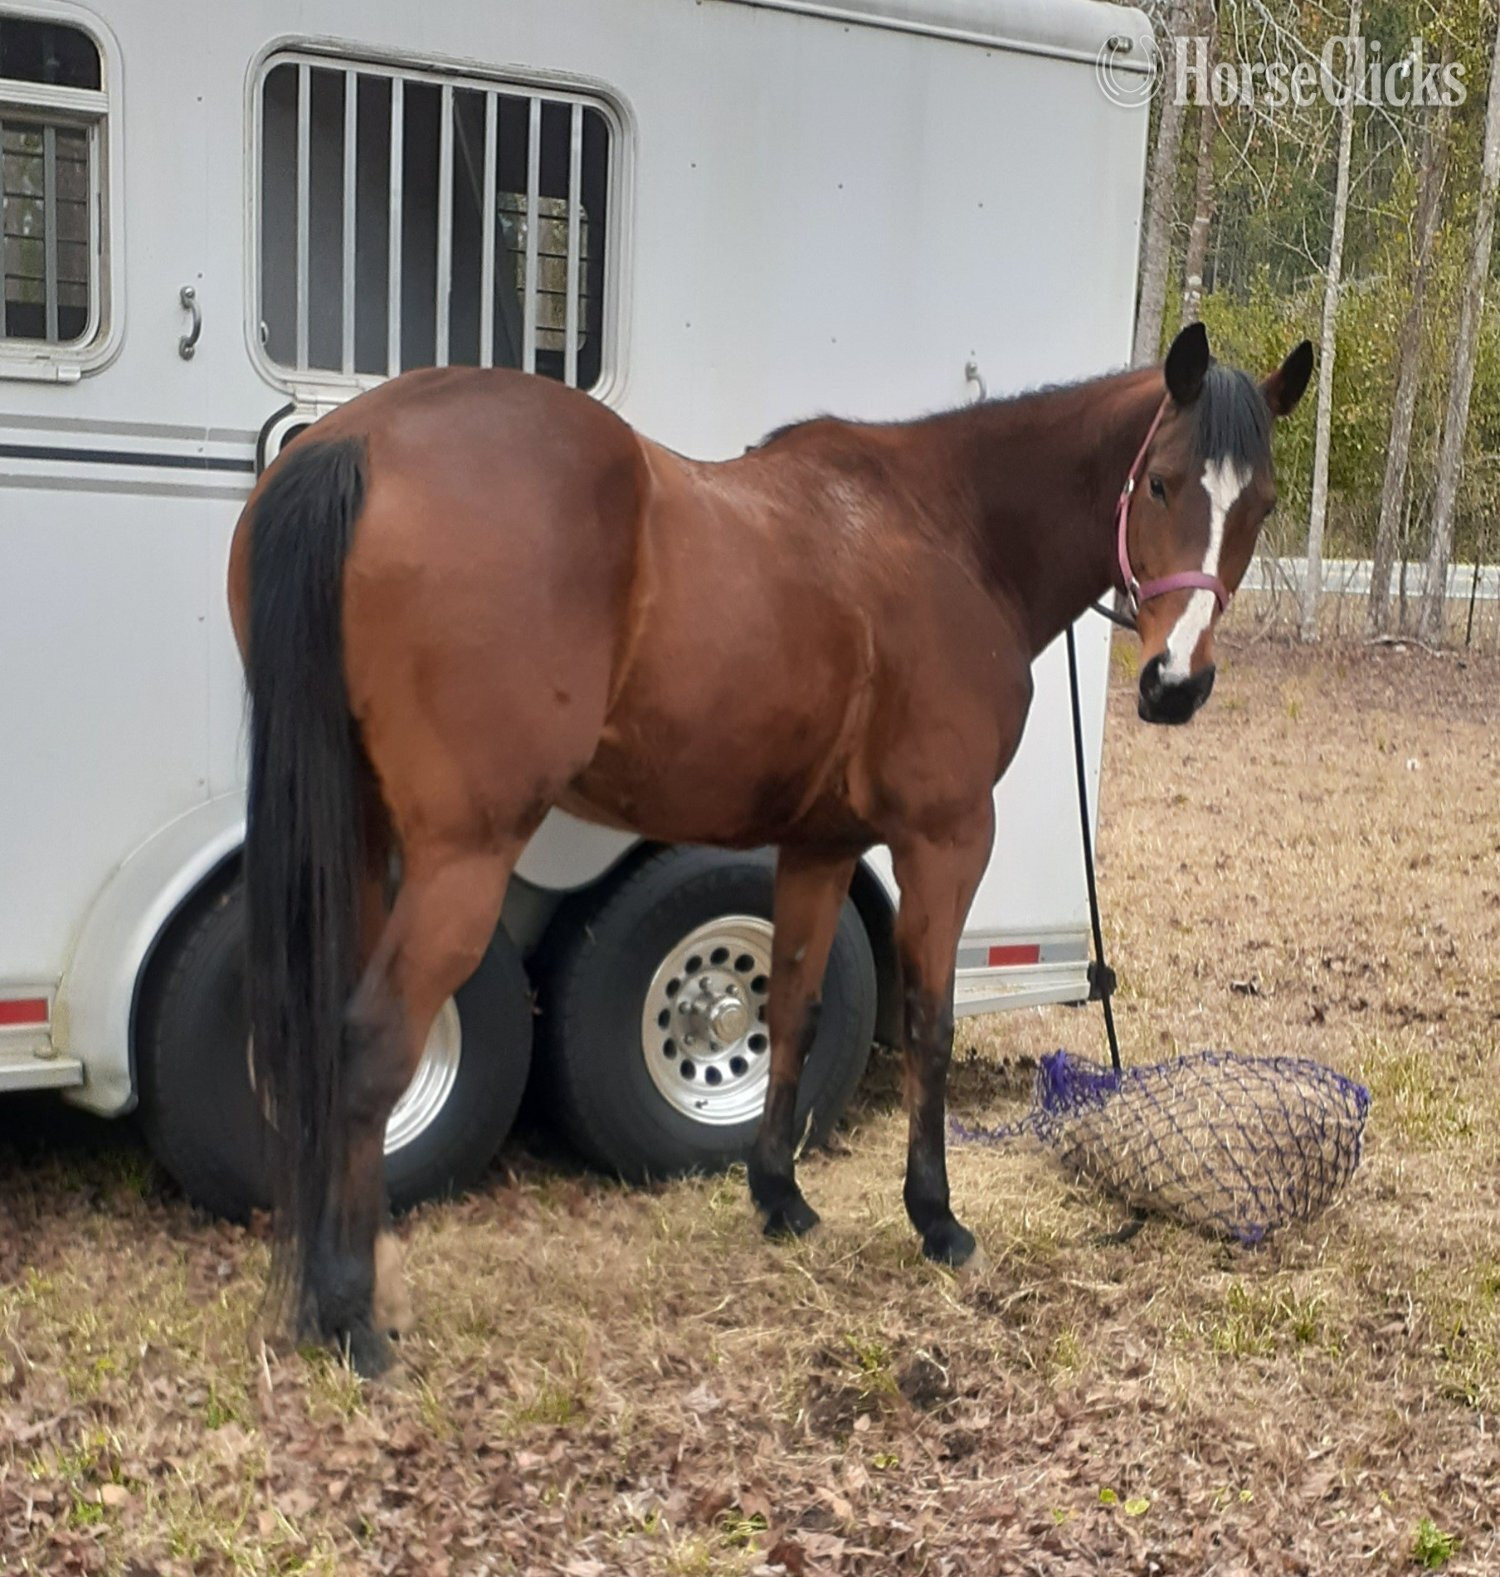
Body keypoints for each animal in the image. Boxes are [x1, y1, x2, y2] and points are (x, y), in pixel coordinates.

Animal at [228, 321, 1312, 1373]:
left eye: (1260, 501)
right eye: (1161, 481)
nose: (1175, 683)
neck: (953, 531)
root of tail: (356, 443)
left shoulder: (819, 844)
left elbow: (790, 1001)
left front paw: (778, 1195)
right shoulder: (947, 836)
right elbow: (929, 1022)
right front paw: (936, 1217)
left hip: (366, 839)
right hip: (463, 858)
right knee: (372, 1043)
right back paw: (348, 1313)